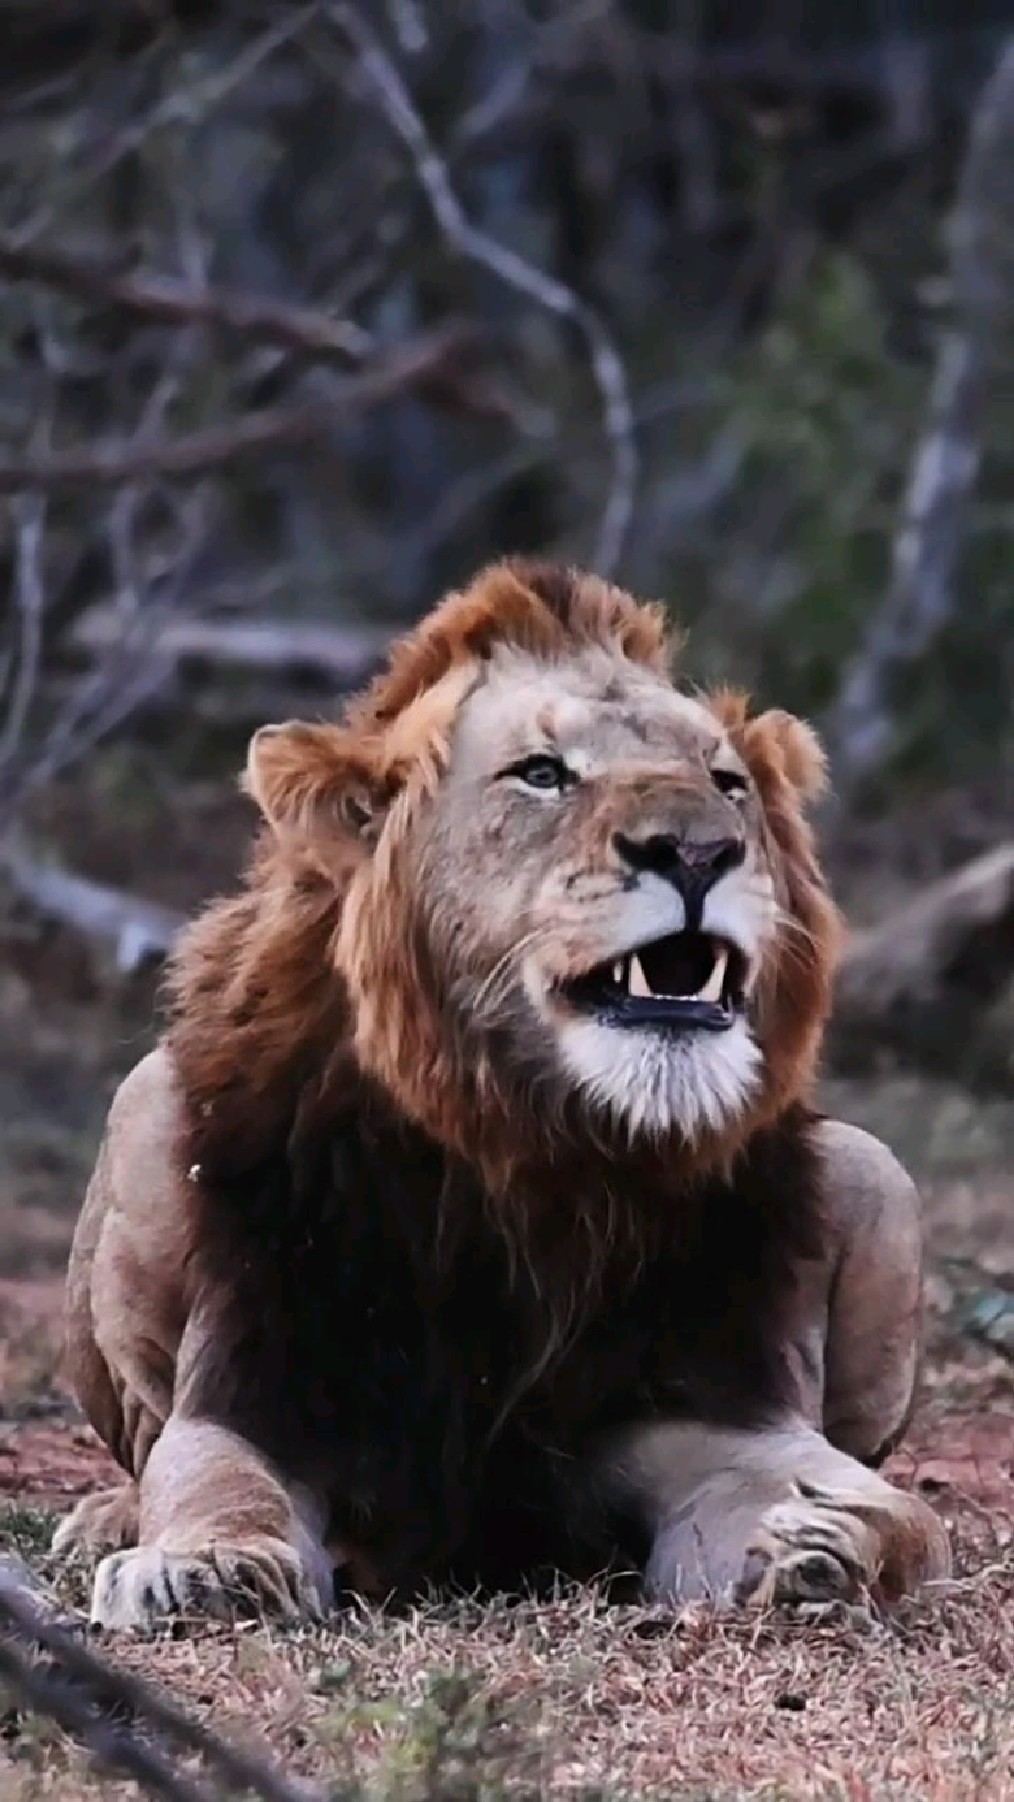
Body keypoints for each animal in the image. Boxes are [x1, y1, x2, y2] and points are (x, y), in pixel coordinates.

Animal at [53, 555, 950, 1629]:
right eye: (543, 774)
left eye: (727, 783)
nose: (699, 851)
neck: (531, 1158)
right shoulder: (263, 1386)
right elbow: (212, 1479)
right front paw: (203, 1568)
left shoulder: (707, 1405)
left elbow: (883, 1508)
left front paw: (830, 1545)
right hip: (143, 1112)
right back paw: (105, 1517)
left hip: (875, 1170)